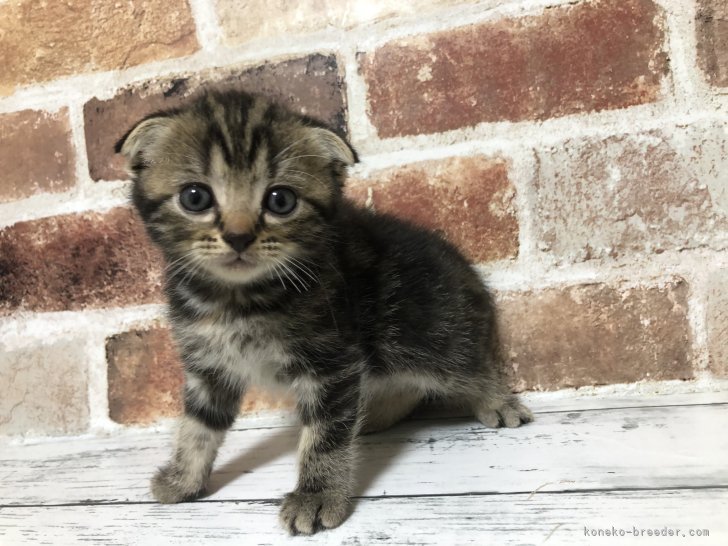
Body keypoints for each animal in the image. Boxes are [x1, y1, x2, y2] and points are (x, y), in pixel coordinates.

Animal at [116, 88, 532, 532]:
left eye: (280, 200)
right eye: (195, 197)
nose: (239, 236)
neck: (238, 300)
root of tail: (463, 266)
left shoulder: (332, 362)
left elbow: (327, 434)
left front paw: (316, 496)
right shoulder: (208, 366)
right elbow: (198, 425)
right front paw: (183, 478)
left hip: (425, 335)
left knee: (468, 366)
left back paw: (500, 403)